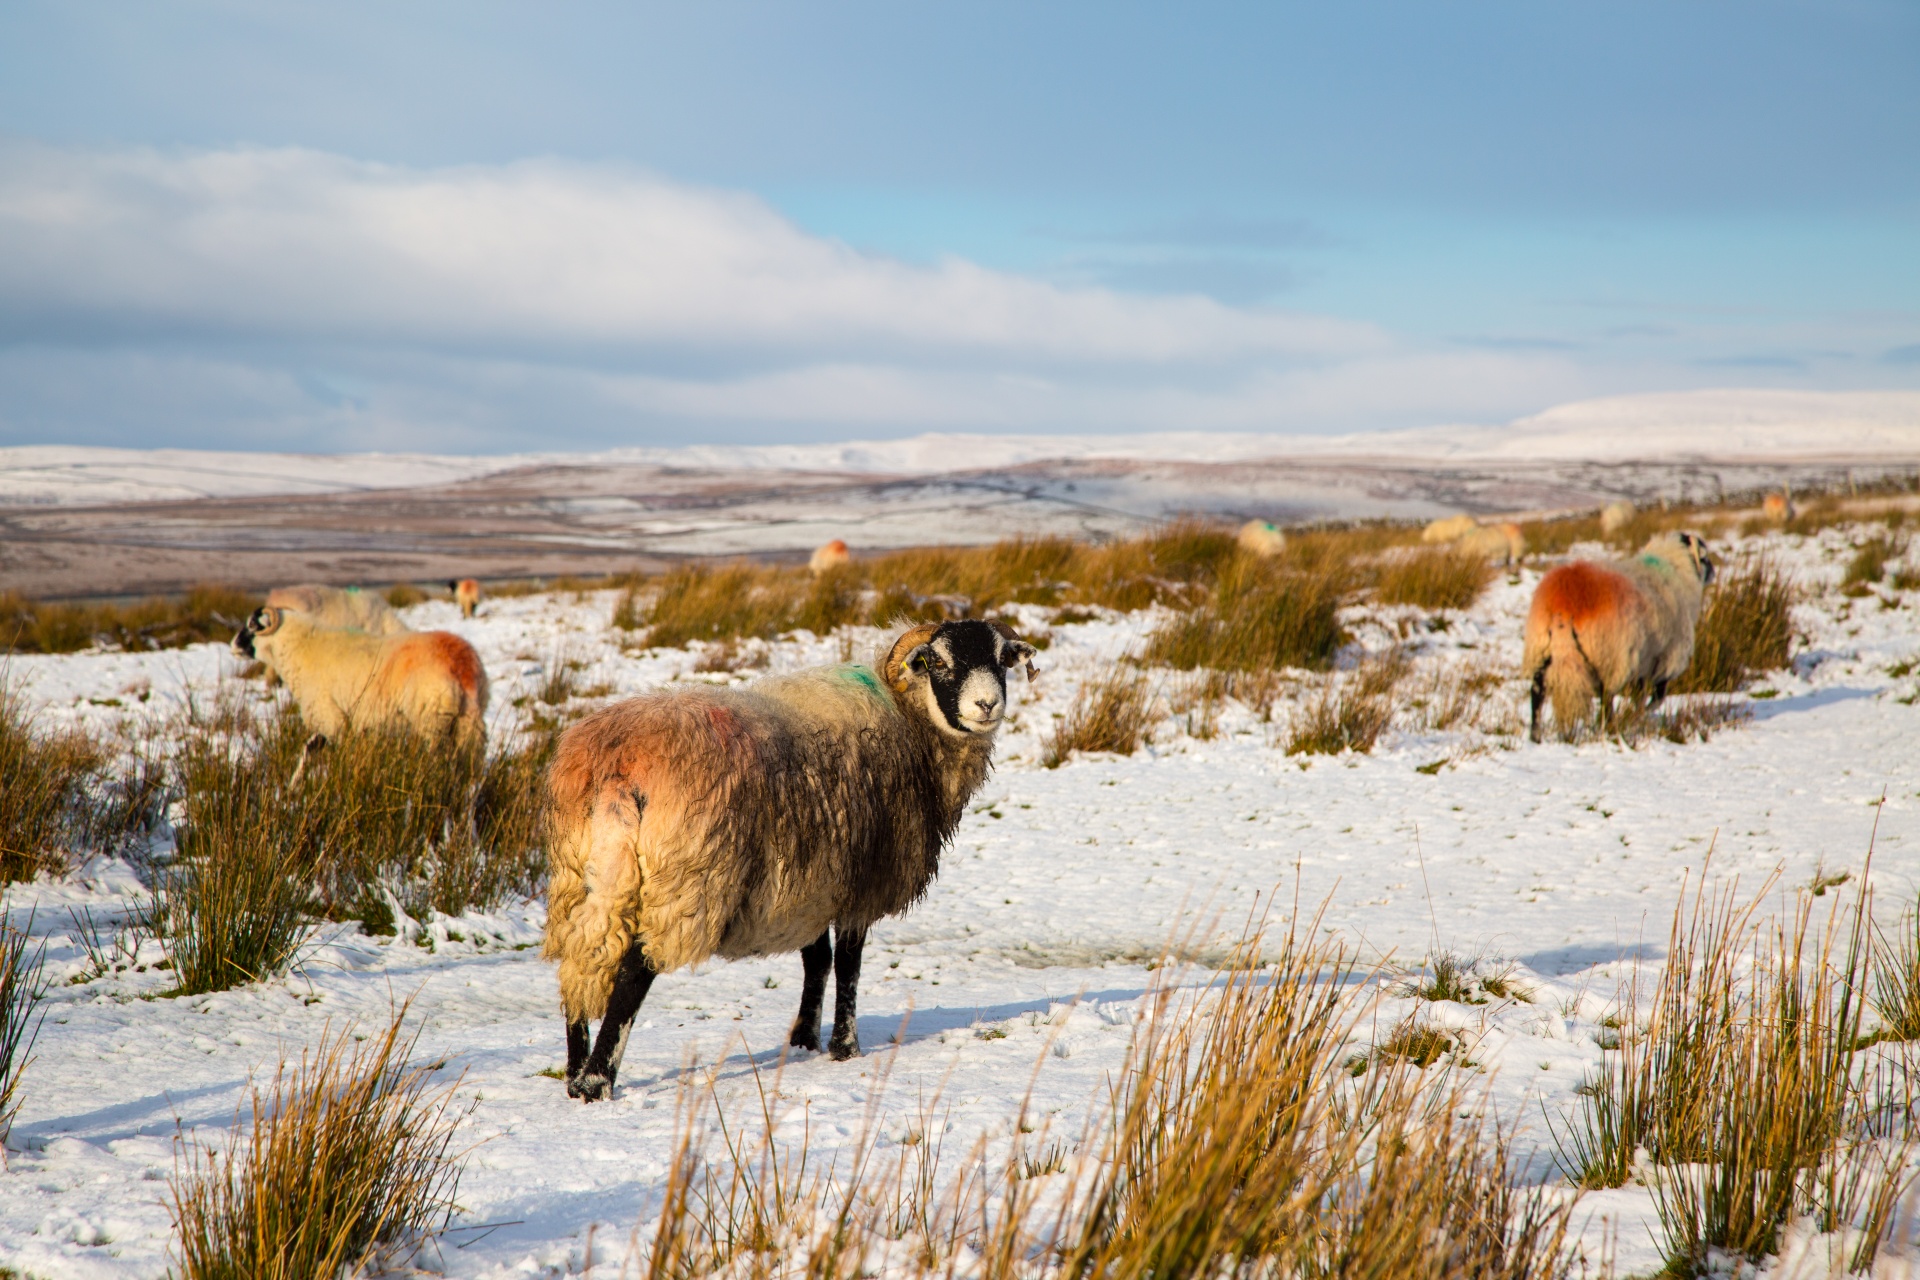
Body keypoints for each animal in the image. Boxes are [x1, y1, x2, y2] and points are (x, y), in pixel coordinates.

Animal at [231, 606, 491, 744]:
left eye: (252, 625)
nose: (233, 645)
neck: (301, 648)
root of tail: (461, 664)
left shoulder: (330, 717)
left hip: (431, 722)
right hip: (469, 726)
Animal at [541, 617, 1036, 1105]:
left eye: (1001, 659)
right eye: (938, 662)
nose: (987, 705)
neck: (911, 723)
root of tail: (616, 767)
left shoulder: (809, 882)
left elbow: (816, 960)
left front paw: (803, 1041)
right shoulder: (861, 879)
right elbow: (848, 963)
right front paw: (844, 1047)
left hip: (578, 873)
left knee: (578, 962)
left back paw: (574, 1075)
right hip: (686, 880)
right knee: (633, 971)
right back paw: (597, 1082)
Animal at [1520, 525, 1720, 740]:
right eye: (1705, 557)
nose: (1713, 573)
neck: (1676, 568)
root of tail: (1564, 605)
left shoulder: (1645, 660)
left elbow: (1641, 695)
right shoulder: (1665, 656)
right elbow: (1656, 696)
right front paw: (1637, 716)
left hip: (1541, 649)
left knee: (1536, 694)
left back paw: (1535, 736)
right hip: (1609, 655)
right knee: (1606, 697)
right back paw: (1608, 729)